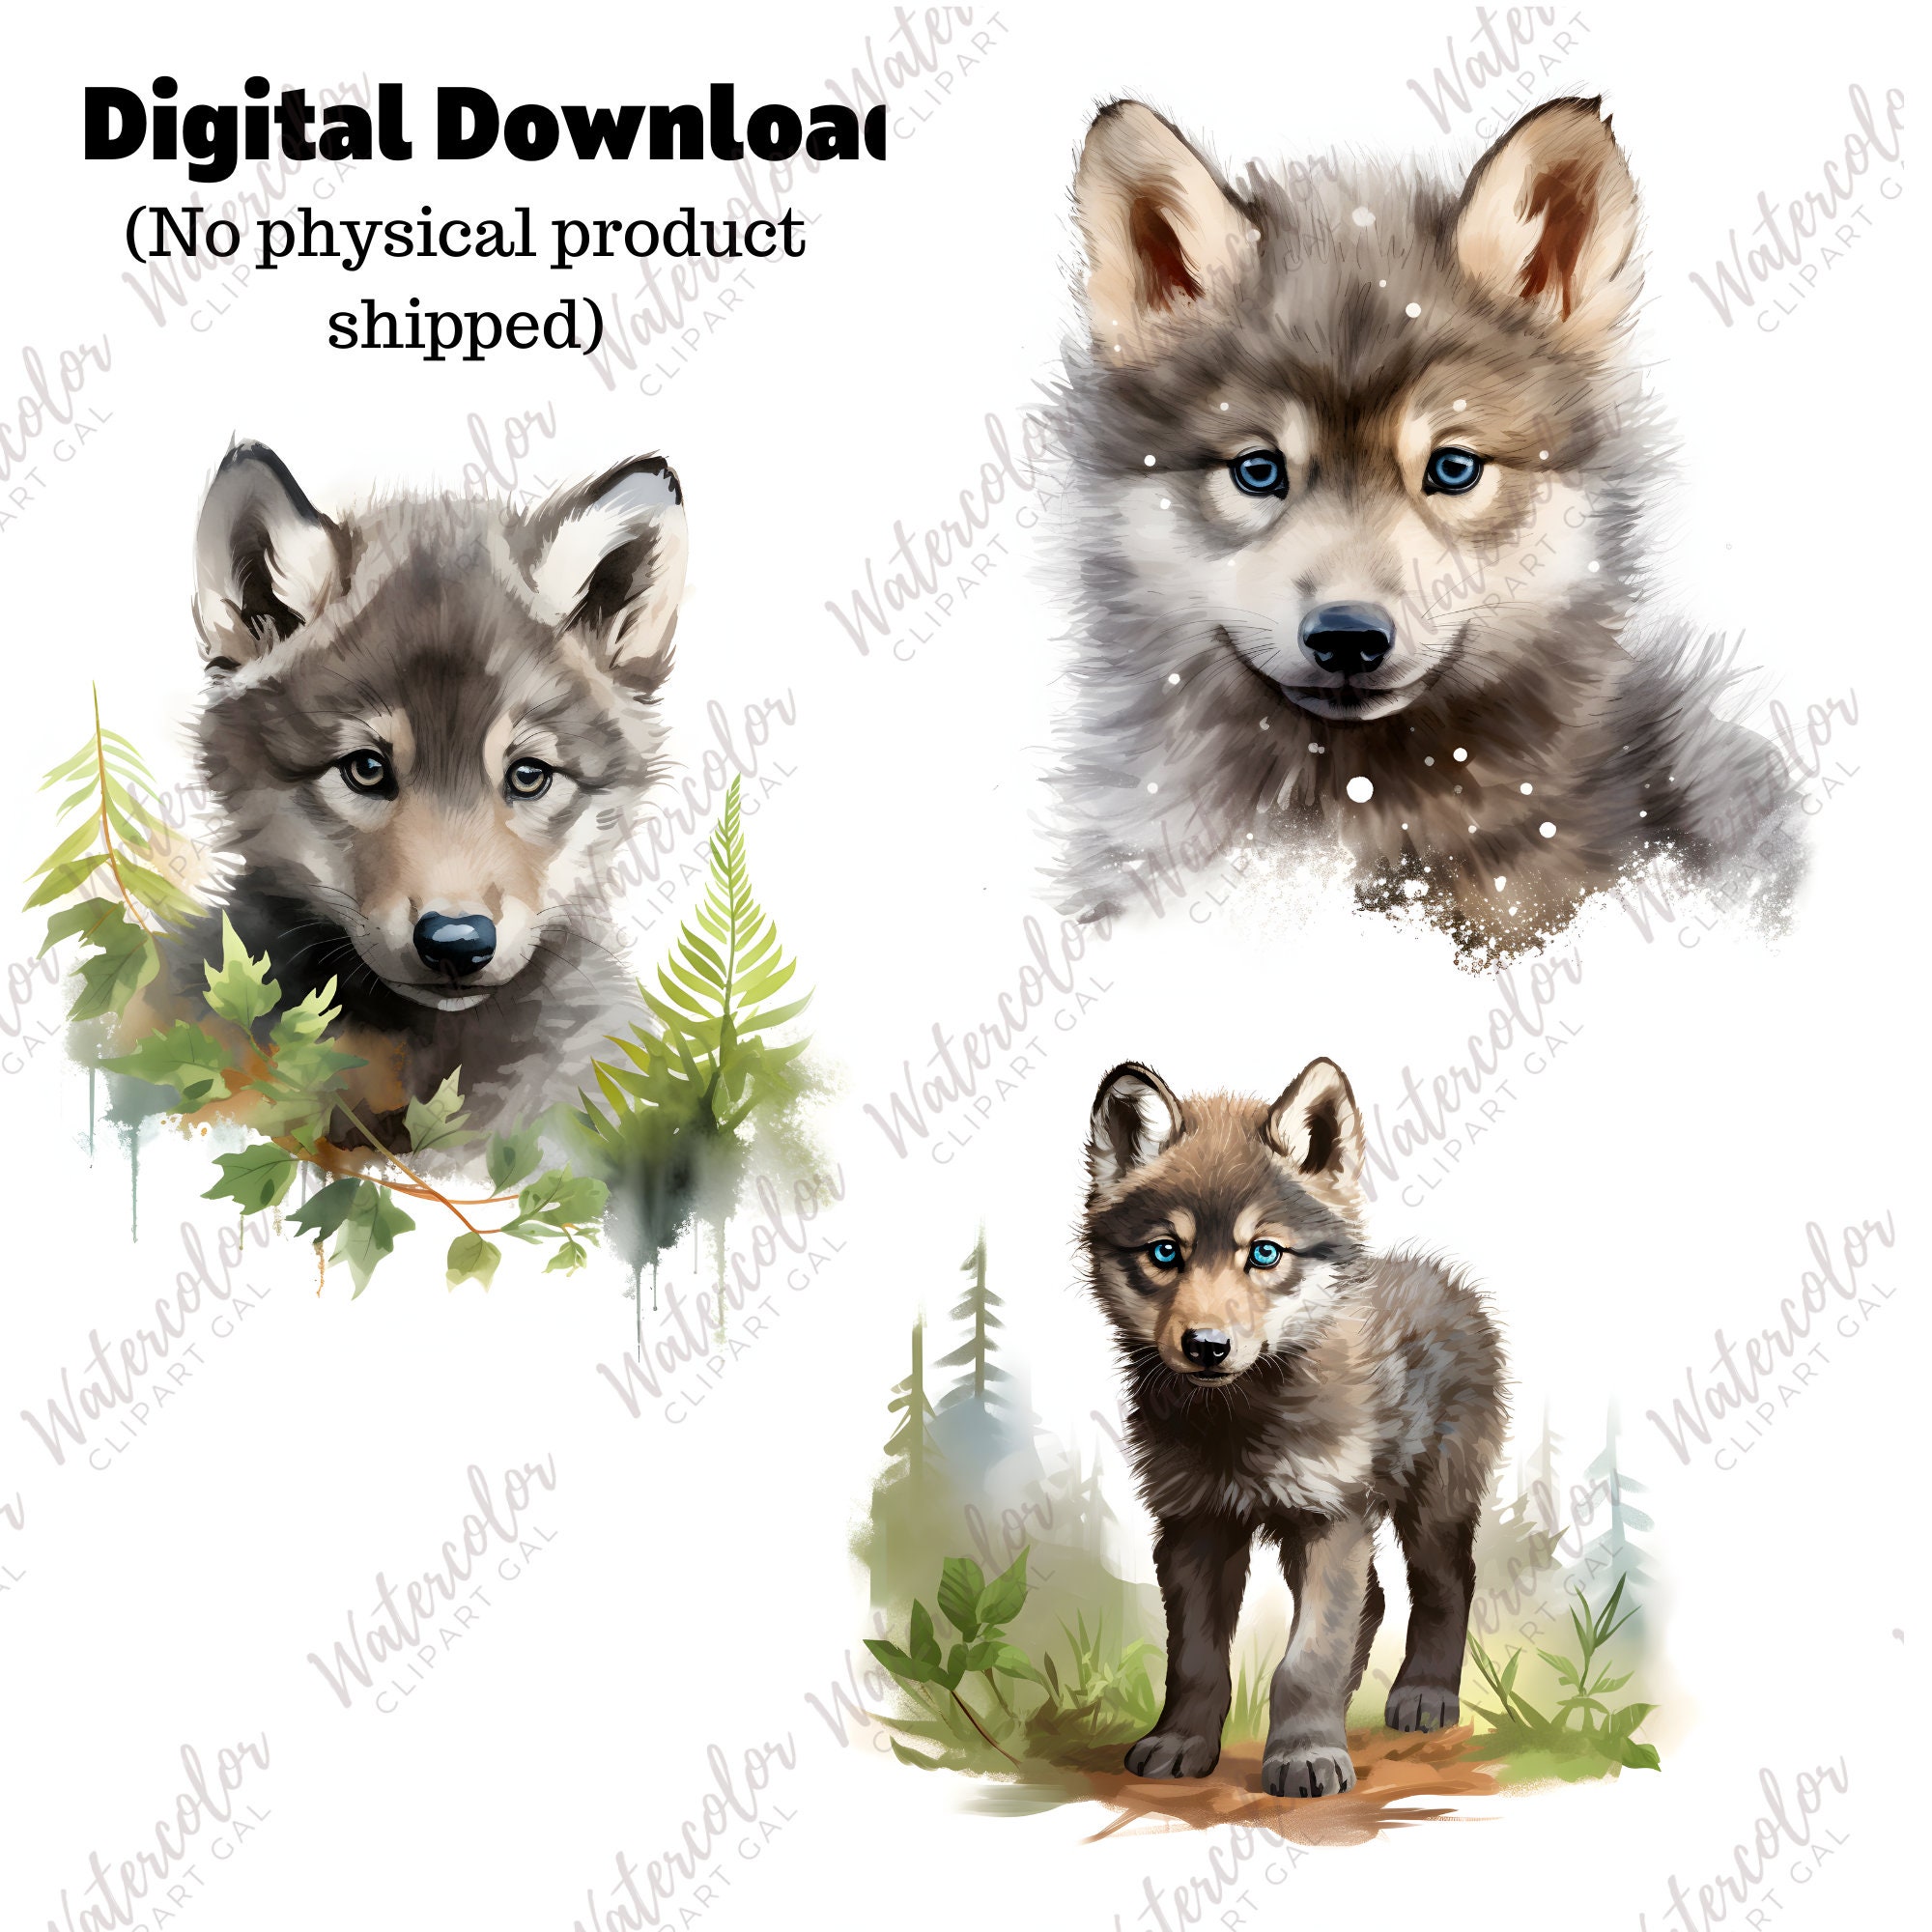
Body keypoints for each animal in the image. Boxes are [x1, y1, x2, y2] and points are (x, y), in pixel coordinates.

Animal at [1083, 1057, 1506, 1797]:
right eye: (1164, 1252)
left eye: (1264, 1253)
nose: (1207, 1347)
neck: (1237, 1423)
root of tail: (1447, 1281)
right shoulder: (1194, 1526)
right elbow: (1194, 1660)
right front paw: (1181, 1742)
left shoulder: (1329, 1516)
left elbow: (1308, 1657)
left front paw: (1305, 1753)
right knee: (1375, 1601)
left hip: (1432, 1503)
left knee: (1445, 1587)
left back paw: (1425, 1696)